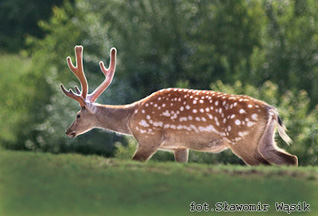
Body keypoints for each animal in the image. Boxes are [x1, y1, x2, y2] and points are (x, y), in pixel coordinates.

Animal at [60, 45, 298, 166]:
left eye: (78, 115)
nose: (68, 131)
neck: (131, 119)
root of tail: (271, 110)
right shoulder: (179, 146)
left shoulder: (149, 138)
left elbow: (136, 160)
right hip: (265, 141)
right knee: (291, 159)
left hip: (242, 140)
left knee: (264, 164)